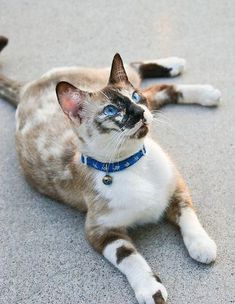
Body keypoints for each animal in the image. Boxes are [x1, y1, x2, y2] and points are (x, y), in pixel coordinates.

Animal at [0, 36, 220, 304]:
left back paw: (195, 81)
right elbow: (130, 258)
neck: (133, 165)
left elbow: (189, 219)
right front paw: (151, 289)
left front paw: (202, 246)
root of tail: (25, 90)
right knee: (156, 89)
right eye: (111, 110)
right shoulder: (101, 231)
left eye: (134, 97)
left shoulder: (176, 187)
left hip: (127, 84)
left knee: (144, 77)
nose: (139, 111)